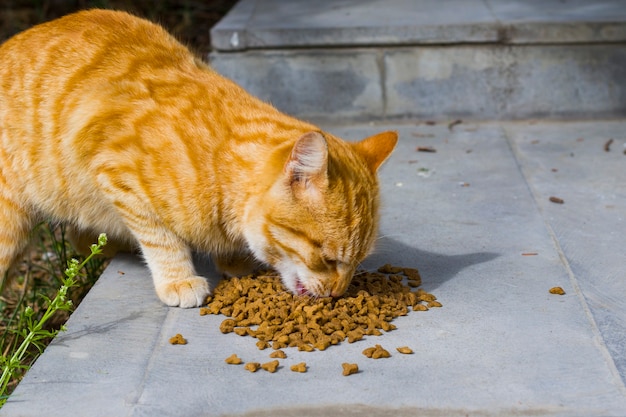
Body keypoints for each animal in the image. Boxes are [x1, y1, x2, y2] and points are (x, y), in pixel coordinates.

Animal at [0, 8, 398, 306]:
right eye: (329, 259)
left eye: (359, 262)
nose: (338, 293)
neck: (218, 160)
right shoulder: (117, 172)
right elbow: (161, 238)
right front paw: (178, 280)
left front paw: (234, 261)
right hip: (9, 228)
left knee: (81, 238)